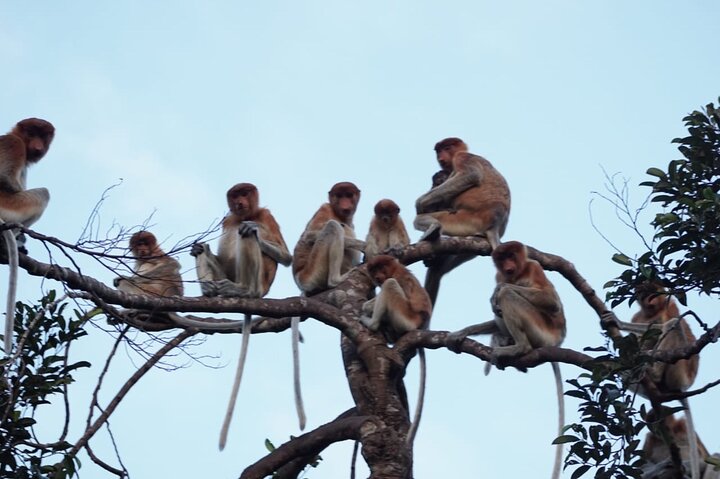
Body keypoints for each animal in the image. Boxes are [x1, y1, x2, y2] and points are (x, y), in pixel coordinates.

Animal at [190, 183, 293, 450]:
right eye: (235, 195)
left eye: (245, 193)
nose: (240, 202)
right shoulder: (228, 219)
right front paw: (198, 247)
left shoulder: (267, 216)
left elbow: (286, 257)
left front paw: (251, 227)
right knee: (208, 255)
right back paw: (209, 288)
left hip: (259, 282)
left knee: (246, 237)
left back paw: (244, 290)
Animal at [360, 255, 431, 445]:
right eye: (374, 270)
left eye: (381, 268)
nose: (378, 276)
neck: (395, 269)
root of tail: (421, 326)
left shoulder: (399, 278)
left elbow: (391, 284)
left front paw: (366, 307)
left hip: (405, 319)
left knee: (389, 285)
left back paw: (372, 323)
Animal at [414, 137, 511, 305]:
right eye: (438, 150)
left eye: (447, 147)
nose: (441, 156)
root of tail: (495, 223)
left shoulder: (462, 157)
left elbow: (470, 175)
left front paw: (420, 203)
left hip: (464, 219)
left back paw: (433, 228)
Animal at [447, 241, 566, 479]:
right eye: (502, 259)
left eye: (511, 255)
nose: (508, 266)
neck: (516, 274)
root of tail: (555, 343)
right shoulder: (499, 274)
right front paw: (463, 332)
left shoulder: (534, 267)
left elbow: (551, 302)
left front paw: (499, 290)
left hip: (541, 330)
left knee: (508, 298)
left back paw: (518, 346)